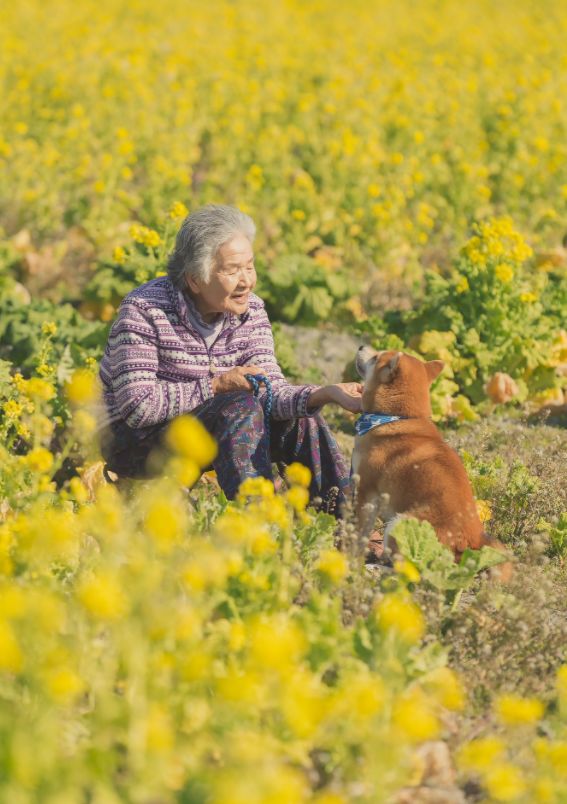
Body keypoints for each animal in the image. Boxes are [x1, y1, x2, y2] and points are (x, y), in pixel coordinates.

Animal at [352, 348, 508, 564]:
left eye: (376, 357)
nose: (360, 347)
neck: (395, 418)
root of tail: (470, 542)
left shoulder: (366, 492)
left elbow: (359, 532)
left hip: (398, 522)